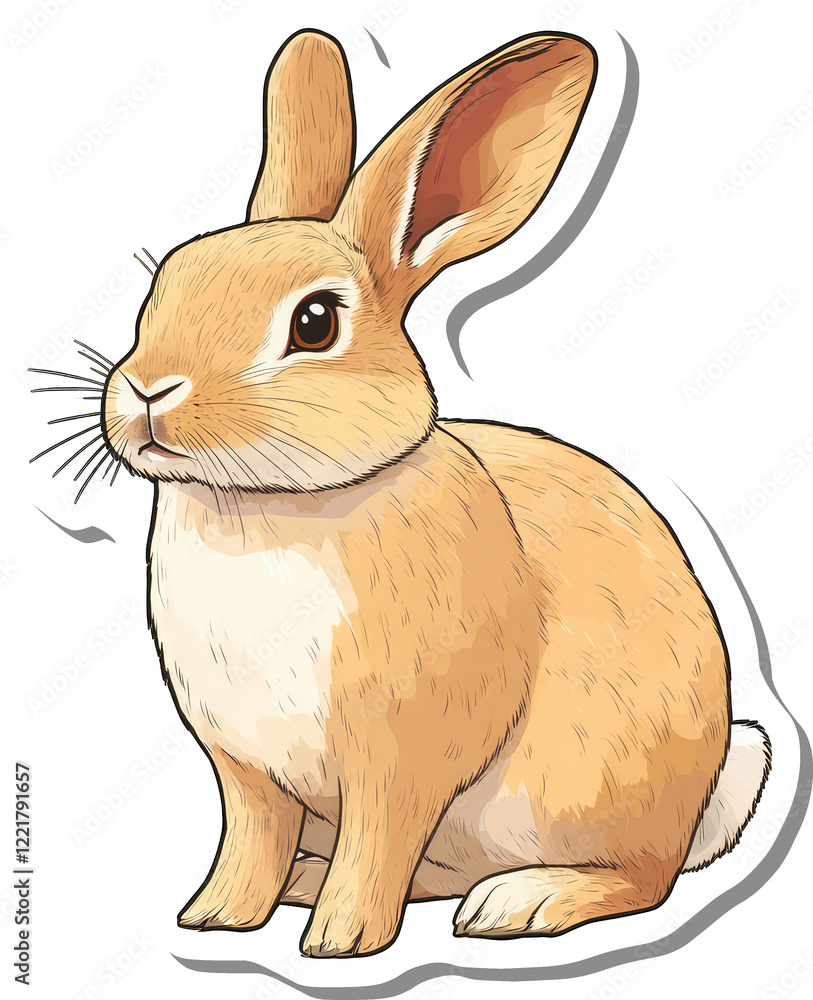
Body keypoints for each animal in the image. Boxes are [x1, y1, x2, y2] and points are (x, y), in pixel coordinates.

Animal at [93, 29, 770, 957]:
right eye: (163, 281)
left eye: (314, 323)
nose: (150, 390)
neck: (267, 505)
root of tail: (706, 793)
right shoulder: (244, 767)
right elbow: (249, 841)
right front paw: (215, 917)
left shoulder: (399, 755)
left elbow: (376, 839)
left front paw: (340, 942)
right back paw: (312, 883)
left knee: (642, 880)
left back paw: (522, 902)